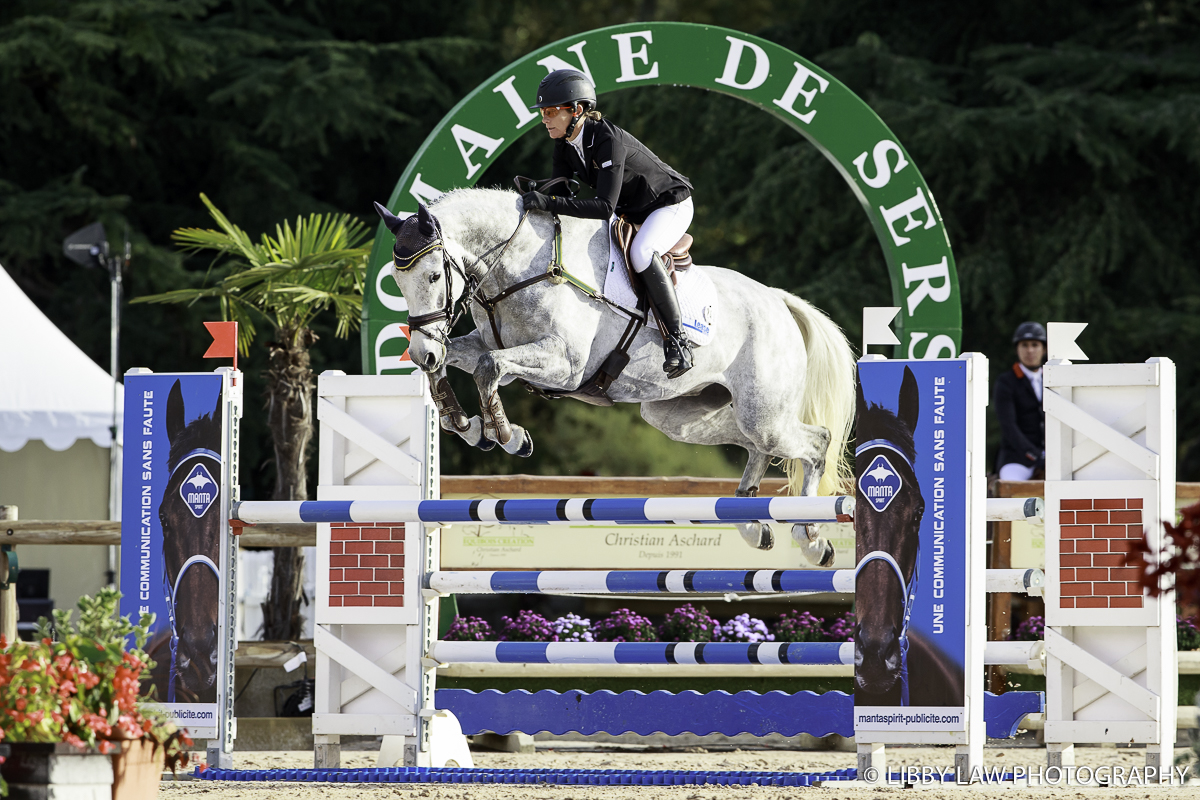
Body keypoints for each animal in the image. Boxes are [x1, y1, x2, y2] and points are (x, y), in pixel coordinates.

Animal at [374, 188, 854, 566]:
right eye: (397, 282)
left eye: (433, 275)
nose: (420, 351)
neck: (518, 266)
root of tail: (778, 301)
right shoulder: (485, 346)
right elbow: (461, 365)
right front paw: (469, 427)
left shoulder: (565, 365)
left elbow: (489, 369)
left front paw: (510, 438)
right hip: (681, 417)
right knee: (756, 445)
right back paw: (754, 525)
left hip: (763, 411)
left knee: (815, 442)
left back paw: (811, 540)